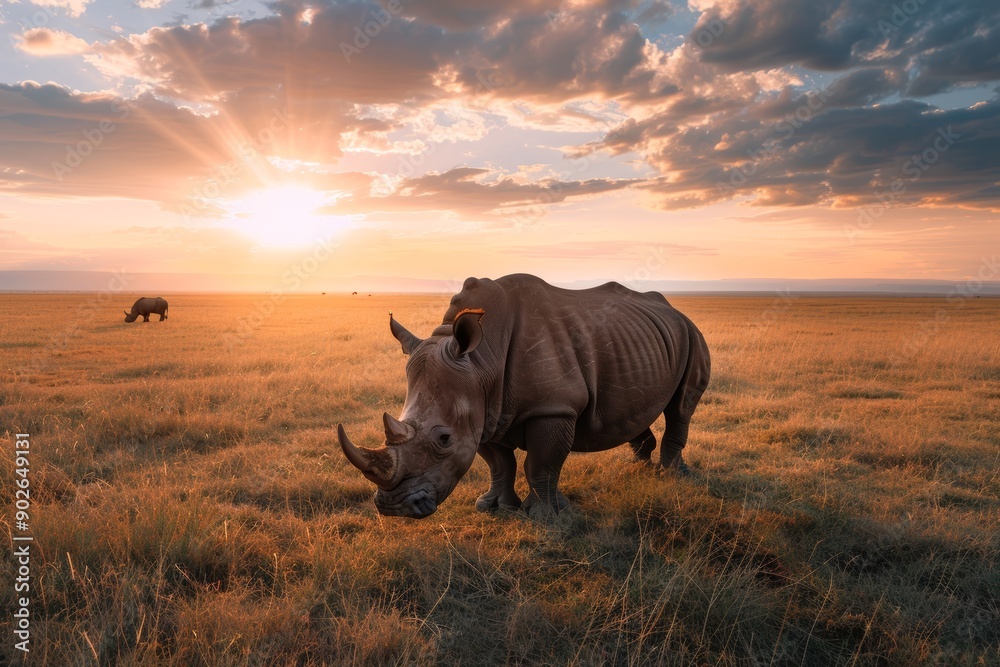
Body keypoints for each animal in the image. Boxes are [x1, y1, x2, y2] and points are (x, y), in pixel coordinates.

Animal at [337, 274, 710, 519]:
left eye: (444, 439)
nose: (394, 507)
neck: (482, 360)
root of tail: (674, 310)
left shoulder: (553, 407)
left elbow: (541, 464)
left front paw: (547, 516)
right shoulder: (484, 410)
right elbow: (499, 464)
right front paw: (494, 508)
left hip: (692, 332)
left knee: (681, 407)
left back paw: (671, 477)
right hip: (640, 342)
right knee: (633, 406)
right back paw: (636, 468)